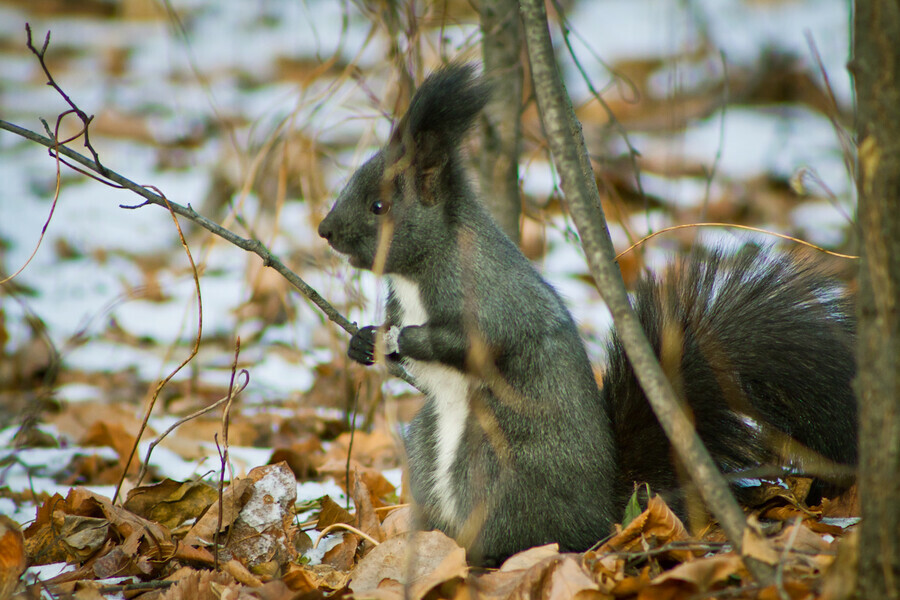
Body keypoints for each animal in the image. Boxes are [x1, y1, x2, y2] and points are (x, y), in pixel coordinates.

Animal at [318, 65, 856, 568]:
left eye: (379, 206)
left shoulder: (490, 298)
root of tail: (602, 514)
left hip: (496, 464)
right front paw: (364, 342)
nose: (324, 231)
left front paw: (402, 338)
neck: (417, 272)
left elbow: (476, 343)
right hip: (429, 449)